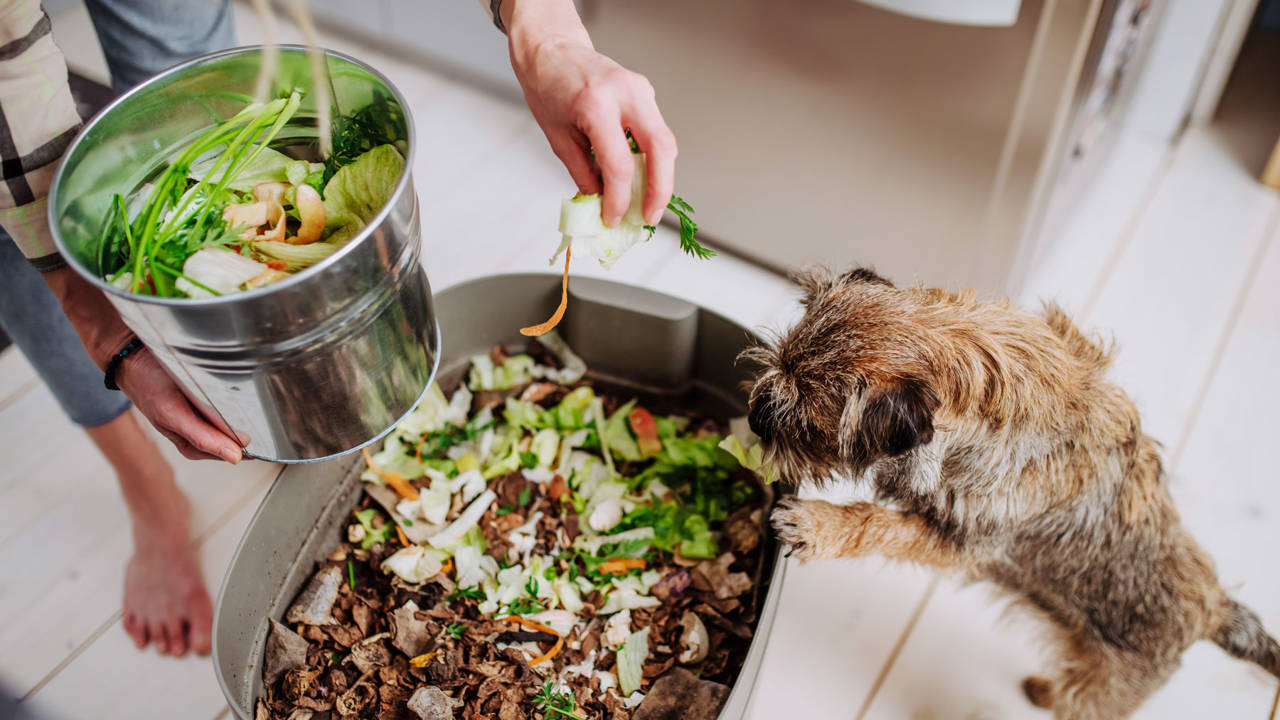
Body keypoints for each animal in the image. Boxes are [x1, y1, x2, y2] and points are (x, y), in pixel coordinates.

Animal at [747, 267, 1274, 717]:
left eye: (806, 428)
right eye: (773, 364)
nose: (755, 417)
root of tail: (1217, 609)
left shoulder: (963, 544)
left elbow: (880, 524)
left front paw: (818, 525)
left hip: (1101, 689)